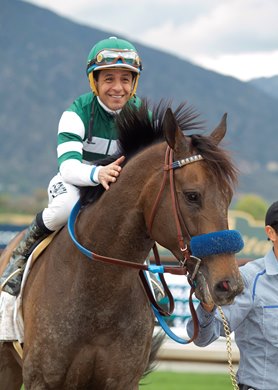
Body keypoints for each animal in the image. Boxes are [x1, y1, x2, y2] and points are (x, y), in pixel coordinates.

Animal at [0, 100, 243, 386]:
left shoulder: (123, 380)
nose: (230, 284)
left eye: (228, 196)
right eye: (192, 195)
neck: (99, 292)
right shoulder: (42, 379)